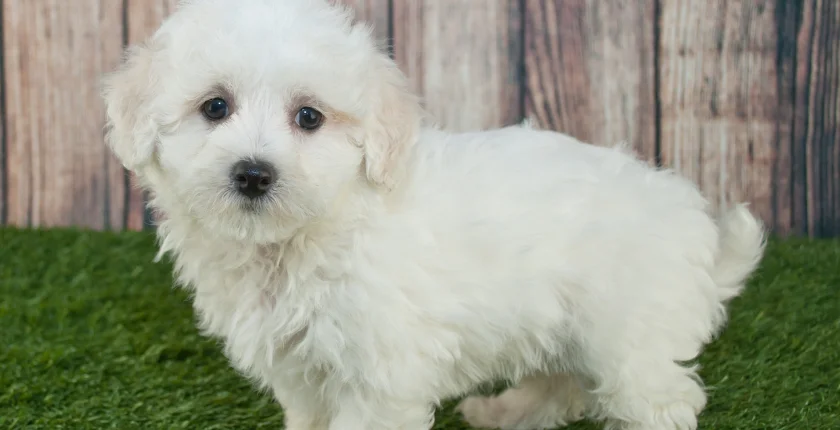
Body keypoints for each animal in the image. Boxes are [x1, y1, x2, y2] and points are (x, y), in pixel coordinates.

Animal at [101, 0, 764, 430]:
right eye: (214, 107)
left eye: (309, 117)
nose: (254, 173)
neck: (304, 238)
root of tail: (692, 223)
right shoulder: (302, 372)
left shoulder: (378, 375)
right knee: (563, 385)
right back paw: (504, 413)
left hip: (627, 334)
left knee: (657, 397)